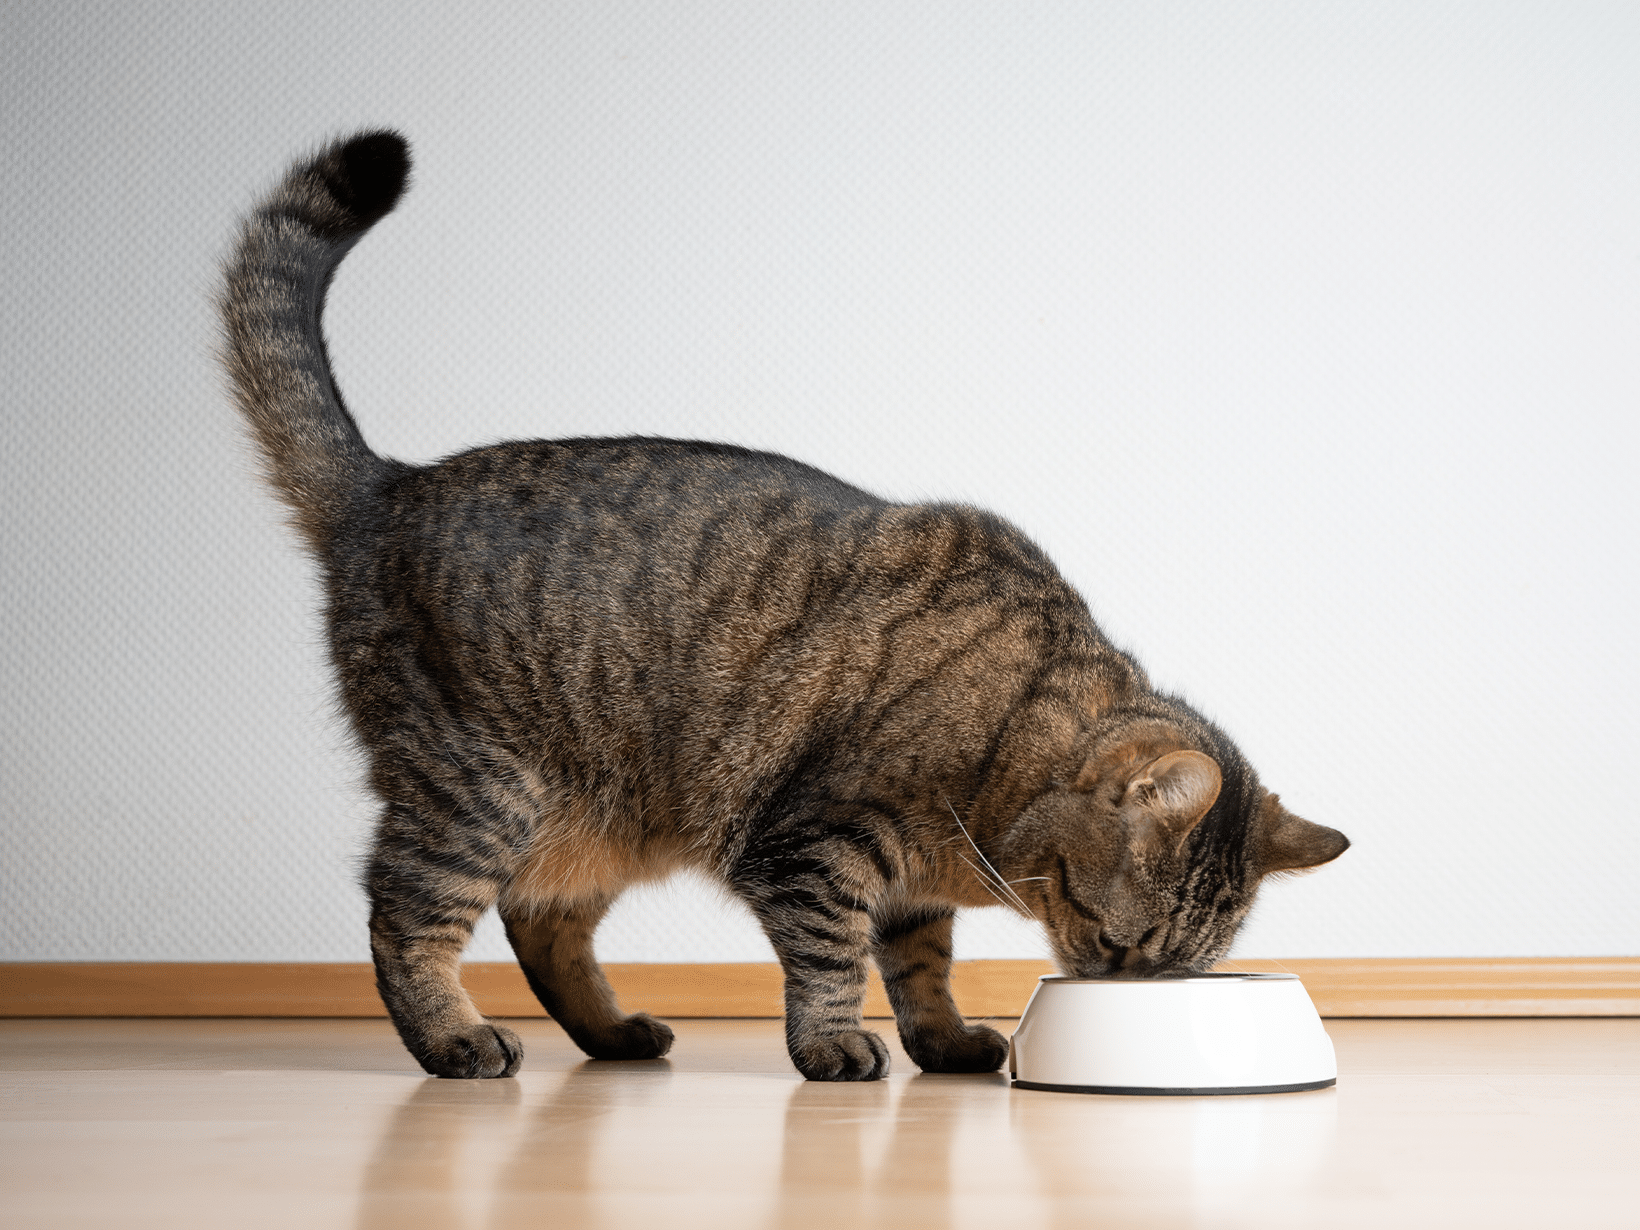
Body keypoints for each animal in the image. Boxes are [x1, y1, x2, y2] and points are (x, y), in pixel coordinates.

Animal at [218, 130, 1344, 1082]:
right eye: (1116, 943)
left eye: (1163, 968)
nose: (1117, 993)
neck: (1006, 736)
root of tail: (387, 485)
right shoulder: (818, 844)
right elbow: (834, 957)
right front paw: (836, 1048)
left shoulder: (911, 890)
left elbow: (922, 969)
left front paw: (943, 1043)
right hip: (478, 789)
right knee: (403, 915)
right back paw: (454, 1039)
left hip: (595, 816)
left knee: (540, 925)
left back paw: (613, 1034)